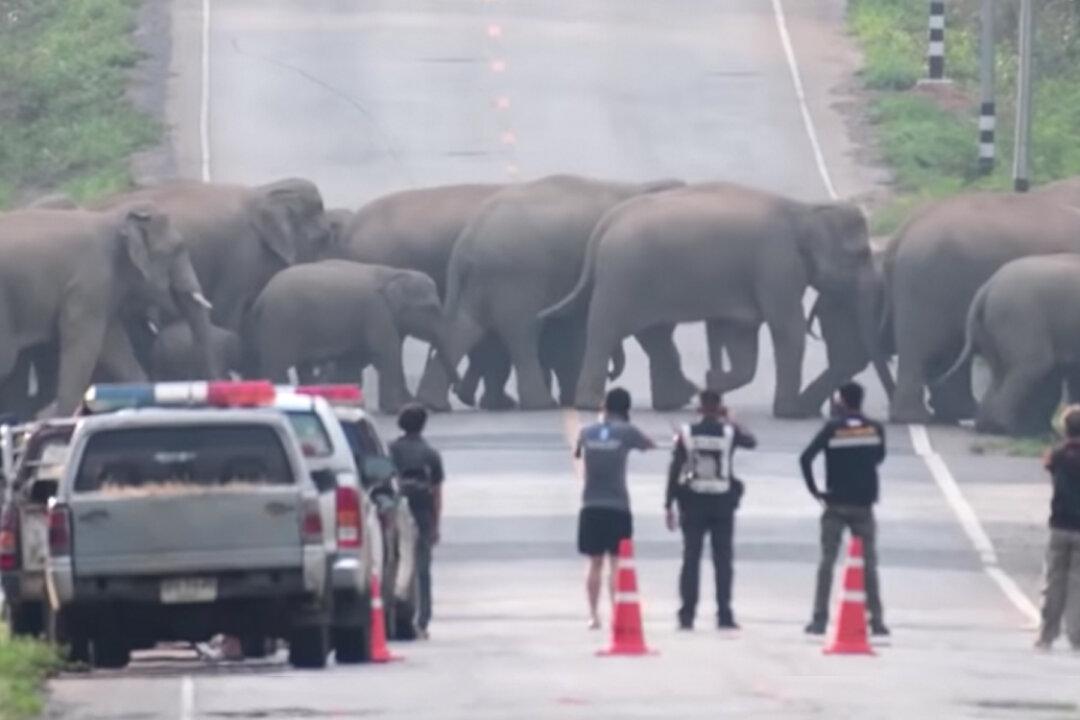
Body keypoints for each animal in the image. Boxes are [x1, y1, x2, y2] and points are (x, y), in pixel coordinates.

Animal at [0, 207, 215, 415]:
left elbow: (113, 344)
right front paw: (58, 416)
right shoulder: (88, 287)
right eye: (177, 249)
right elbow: (85, 347)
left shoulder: (101, 294)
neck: (115, 217)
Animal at [246, 260, 460, 414]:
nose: (447, 406)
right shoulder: (377, 313)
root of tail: (261, 299)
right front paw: (398, 408)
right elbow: (386, 354)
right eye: (431, 309)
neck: (394, 273)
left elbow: (353, 360)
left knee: (303, 368)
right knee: (277, 367)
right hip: (280, 325)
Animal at [415, 174, 686, 411]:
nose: (612, 373)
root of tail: (466, 244)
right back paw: (540, 404)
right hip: (515, 280)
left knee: (465, 327)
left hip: (485, 281)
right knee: (522, 333)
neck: (641, 187)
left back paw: (434, 403)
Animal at [540, 183, 879, 418]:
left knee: (654, 335)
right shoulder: (777, 264)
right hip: (623, 278)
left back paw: (679, 397)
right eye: (862, 254)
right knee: (606, 331)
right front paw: (790, 413)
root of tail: (607, 222)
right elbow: (786, 328)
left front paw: (713, 381)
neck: (805, 211)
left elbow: (741, 336)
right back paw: (591, 404)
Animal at [938, 254, 1080, 435]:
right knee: (1032, 367)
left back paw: (989, 427)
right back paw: (1013, 430)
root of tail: (985, 289)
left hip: (989, 328)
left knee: (1001, 372)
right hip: (1017, 317)